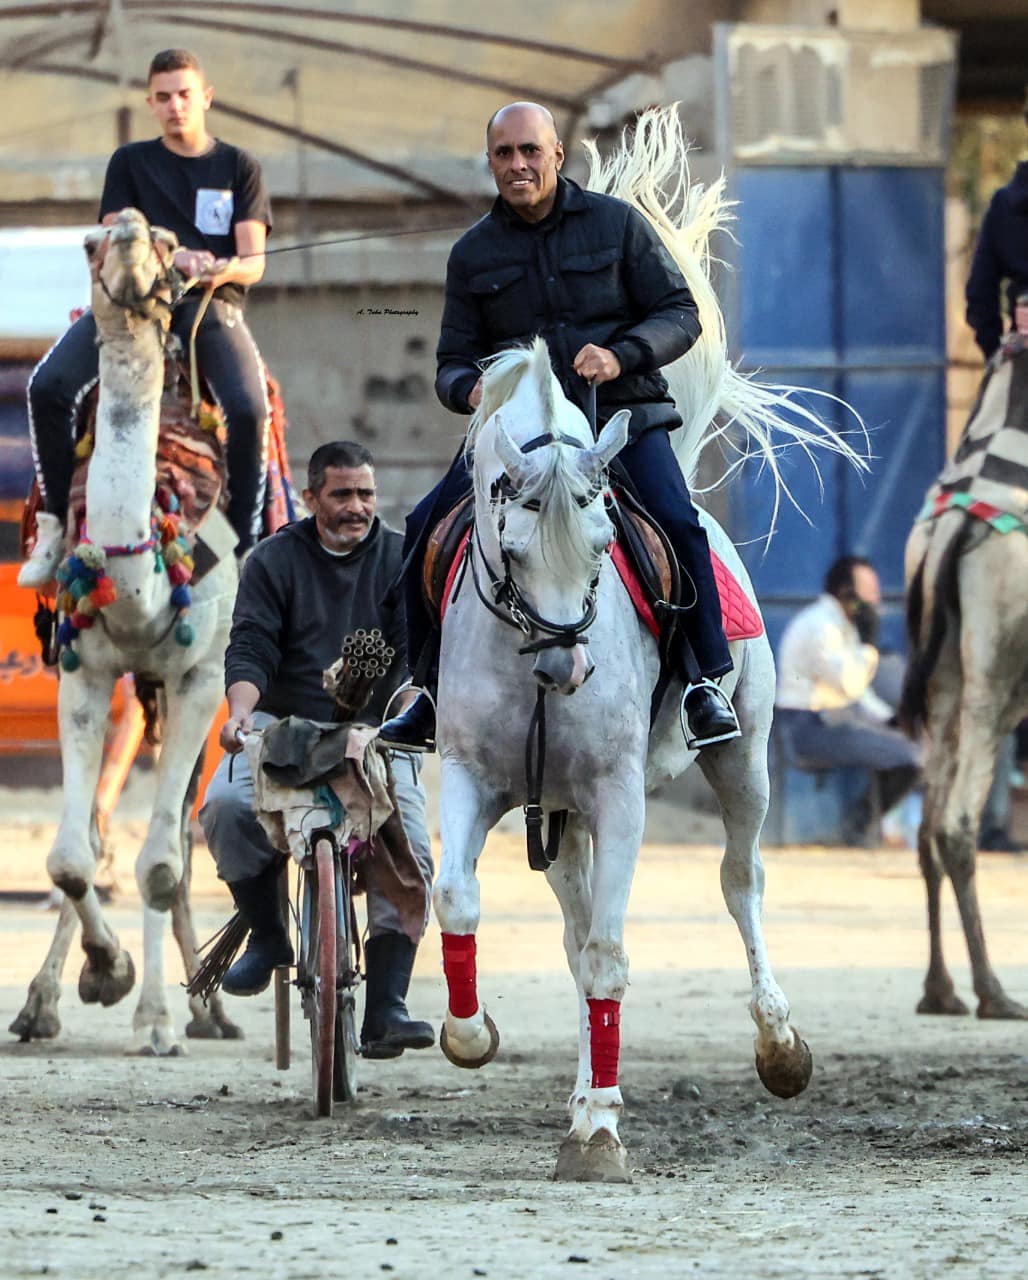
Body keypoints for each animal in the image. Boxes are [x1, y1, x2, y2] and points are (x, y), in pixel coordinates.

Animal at [11, 207, 239, 1049]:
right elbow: (72, 858)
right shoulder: (85, 671)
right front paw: (100, 974)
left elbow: (164, 863)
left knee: (180, 840)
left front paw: (156, 1016)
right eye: (91, 240)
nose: (136, 234)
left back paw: (202, 1009)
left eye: (174, 246)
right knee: (110, 834)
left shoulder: (202, 676)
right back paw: (47, 1002)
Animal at [430, 110, 865, 1177]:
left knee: (740, 882)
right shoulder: (476, 778)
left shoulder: (619, 795)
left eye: (600, 546)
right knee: (576, 924)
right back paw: (586, 1086)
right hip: (562, 815)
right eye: (508, 544)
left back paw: (777, 1047)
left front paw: (599, 1132)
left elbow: (614, 953)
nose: (564, 665)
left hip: (743, 762)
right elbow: (460, 904)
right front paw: (473, 1036)